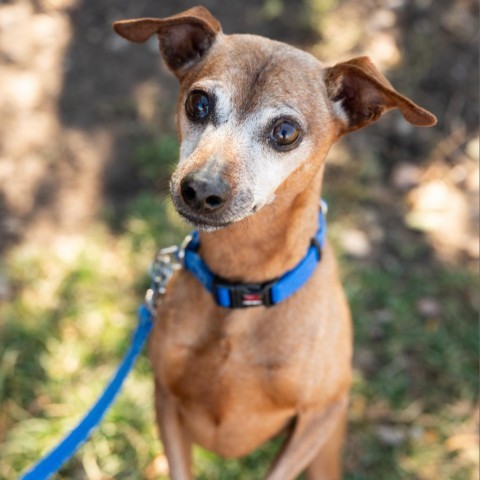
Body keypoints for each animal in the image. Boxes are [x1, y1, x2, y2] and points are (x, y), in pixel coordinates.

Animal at [112, 5, 436, 478]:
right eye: (198, 102)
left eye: (285, 132)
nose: (201, 190)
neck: (243, 286)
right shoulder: (166, 397)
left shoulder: (319, 417)